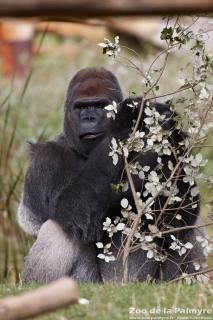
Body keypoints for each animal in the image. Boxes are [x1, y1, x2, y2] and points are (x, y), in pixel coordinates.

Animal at [17, 67, 204, 282]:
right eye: (81, 108)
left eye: (99, 106)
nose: (89, 118)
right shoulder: (46, 160)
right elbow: (74, 211)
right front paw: (125, 119)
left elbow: (176, 215)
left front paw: (171, 132)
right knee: (59, 226)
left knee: (184, 229)